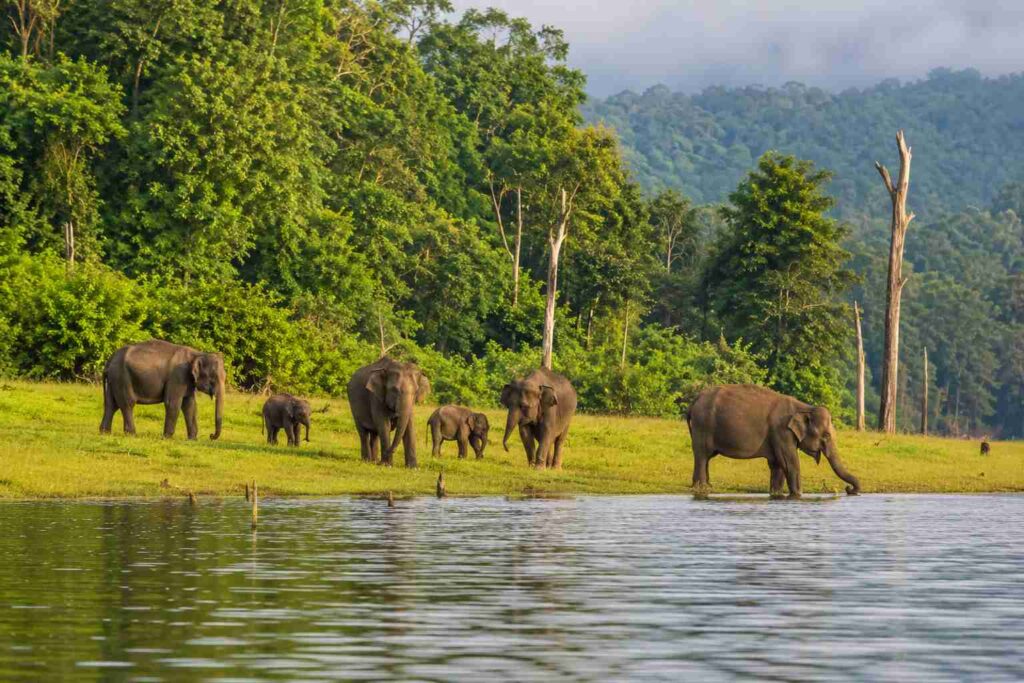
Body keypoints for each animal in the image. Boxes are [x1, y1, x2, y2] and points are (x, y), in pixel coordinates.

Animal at [687, 384, 861, 498]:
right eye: (826, 436)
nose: (849, 489)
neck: (805, 407)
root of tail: (695, 400)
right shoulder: (782, 431)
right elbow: (790, 463)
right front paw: (797, 495)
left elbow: (778, 464)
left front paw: (776, 494)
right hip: (703, 426)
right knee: (702, 456)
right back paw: (701, 489)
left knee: (705, 458)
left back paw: (707, 488)